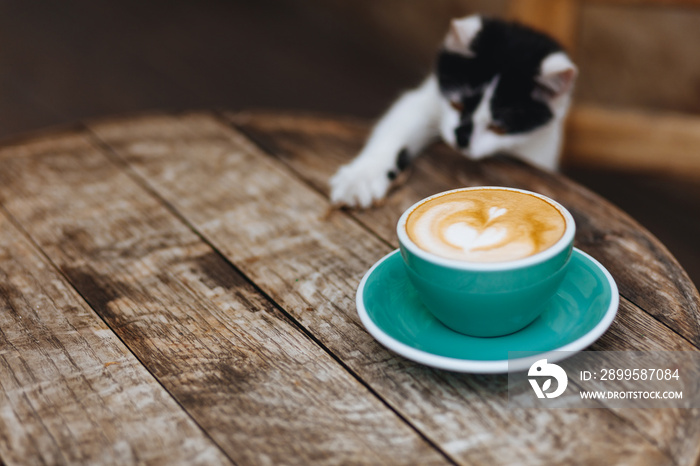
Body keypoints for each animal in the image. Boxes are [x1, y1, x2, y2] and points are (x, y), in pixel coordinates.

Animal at [330, 15, 576, 208]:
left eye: (498, 127)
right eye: (457, 104)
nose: (462, 139)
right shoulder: (424, 99)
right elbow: (397, 125)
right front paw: (360, 177)